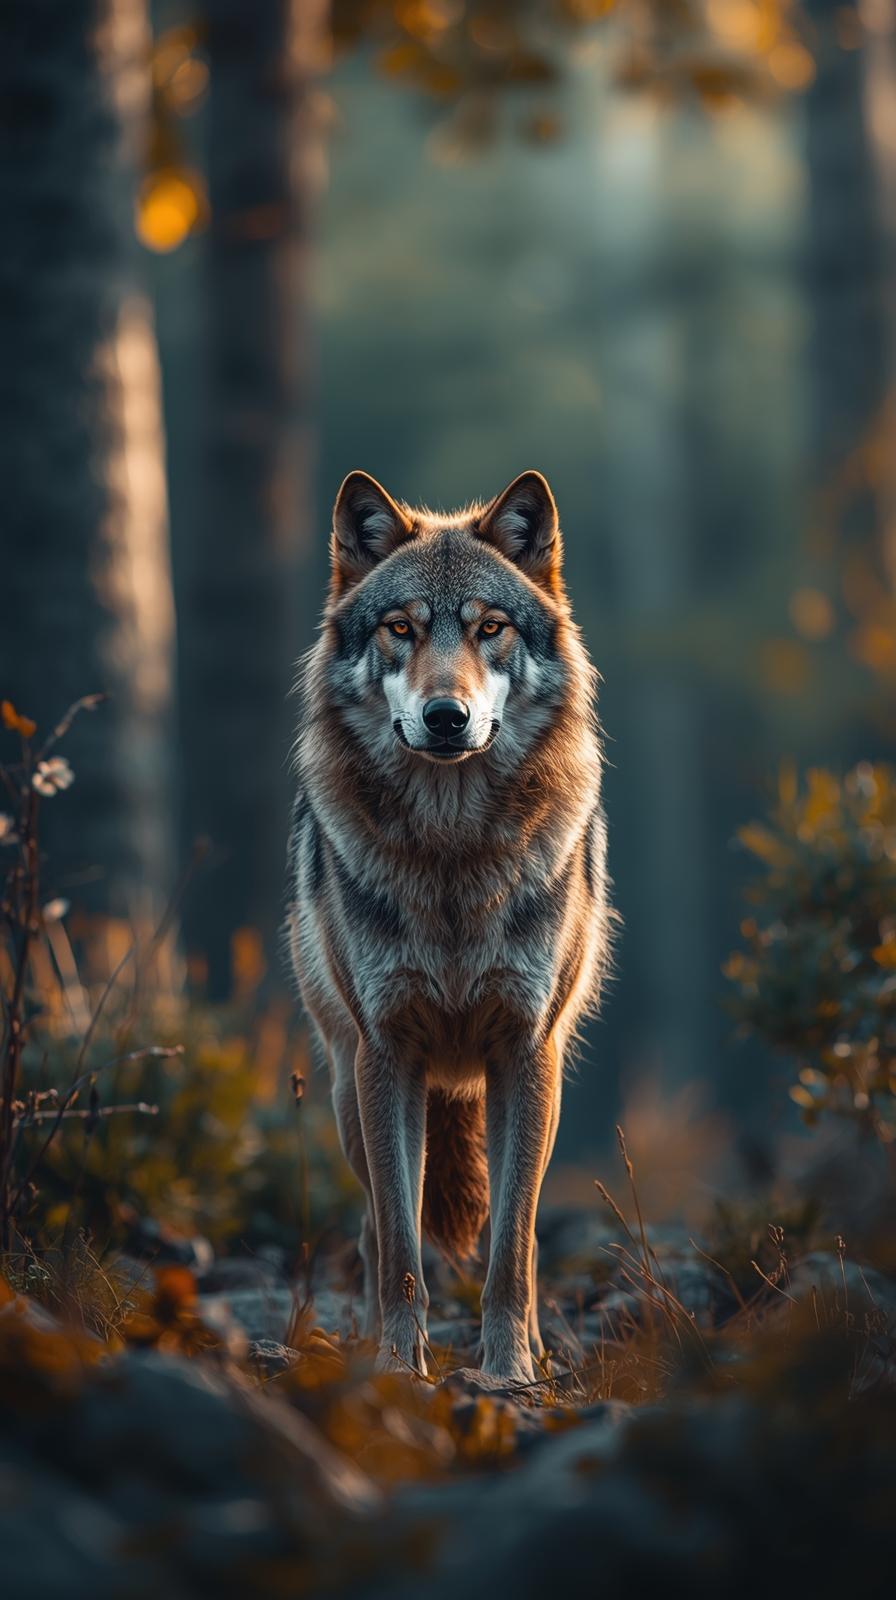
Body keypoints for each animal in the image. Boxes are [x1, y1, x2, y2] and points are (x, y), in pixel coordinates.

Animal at [287, 469, 611, 1383]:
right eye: (401, 628)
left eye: (488, 628)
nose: (444, 716)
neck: (454, 859)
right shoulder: (387, 1053)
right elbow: (401, 1245)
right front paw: (401, 1367)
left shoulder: (527, 1053)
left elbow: (512, 1247)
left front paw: (509, 1370)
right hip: (345, 1095)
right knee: (370, 1230)